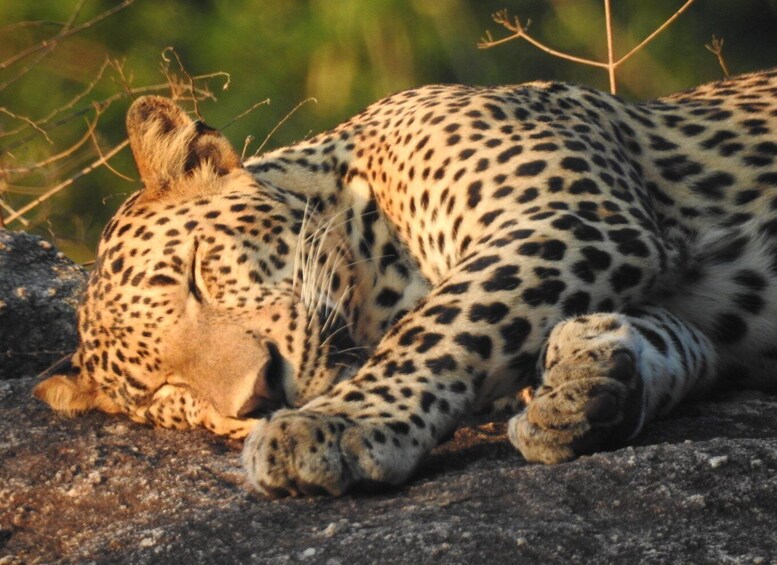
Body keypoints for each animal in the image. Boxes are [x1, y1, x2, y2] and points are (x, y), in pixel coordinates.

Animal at [34, 68, 777, 497]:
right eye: (166, 391)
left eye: (193, 274)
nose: (259, 394)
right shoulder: (691, 313)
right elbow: (670, 341)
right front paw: (588, 387)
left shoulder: (577, 216)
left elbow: (444, 322)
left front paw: (332, 425)